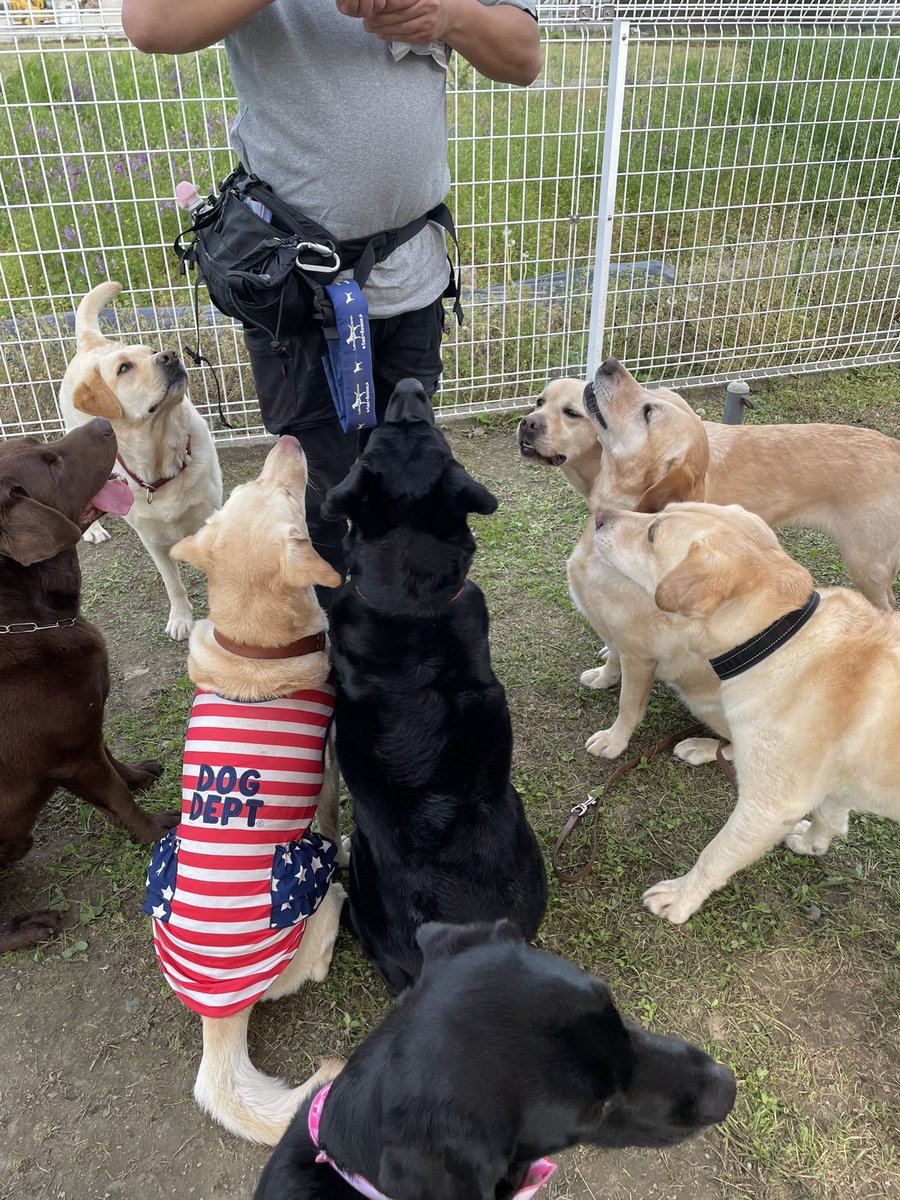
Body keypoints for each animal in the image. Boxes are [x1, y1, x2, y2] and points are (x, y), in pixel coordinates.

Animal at [60, 279, 224, 638]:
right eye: (124, 368)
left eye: (151, 353)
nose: (170, 355)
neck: (162, 457)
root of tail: (94, 342)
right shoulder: (151, 538)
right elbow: (172, 583)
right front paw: (181, 618)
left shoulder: (211, 517)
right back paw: (93, 529)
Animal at [146, 439, 348, 1142]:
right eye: (290, 499)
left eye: (242, 491)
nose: (288, 441)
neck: (255, 649)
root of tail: (218, 1016)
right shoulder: (329, 763)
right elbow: (332, 812)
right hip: (311, 888)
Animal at [592, 501, 900, 921]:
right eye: (662, 509)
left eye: (653, 533)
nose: (599, 515)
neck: (778, 635)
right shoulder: (832, 782)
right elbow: (831, 816)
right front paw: (813, 844)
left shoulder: (769, 807)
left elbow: (716, 854)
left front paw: (681, 897)